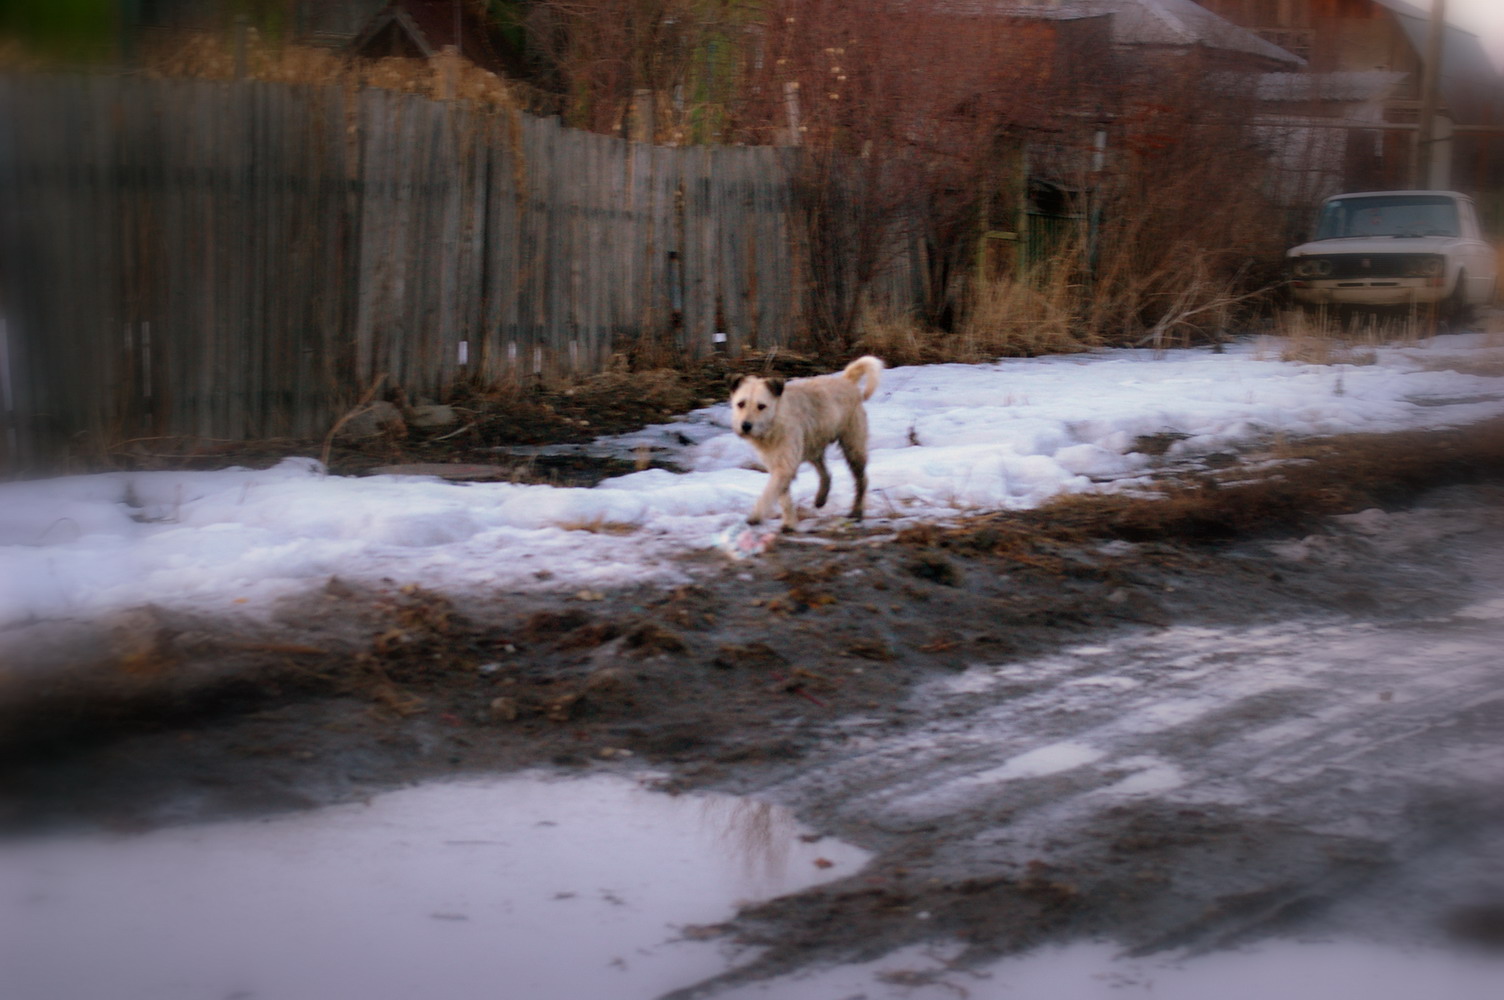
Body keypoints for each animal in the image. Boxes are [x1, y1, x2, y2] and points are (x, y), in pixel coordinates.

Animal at [727, 356, 878, 529]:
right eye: (741, 404)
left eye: (761, 406)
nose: (745, 426)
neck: (774, 423)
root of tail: (847, 381)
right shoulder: (777, 464)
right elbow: (784, 497)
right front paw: (789, 523)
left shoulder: (784, 466)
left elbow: (769, 492)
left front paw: (756, 515)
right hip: (813, 447)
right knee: (826, 474)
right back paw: (821, 498)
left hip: (852, 447)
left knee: (861, 480)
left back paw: (856, 512)